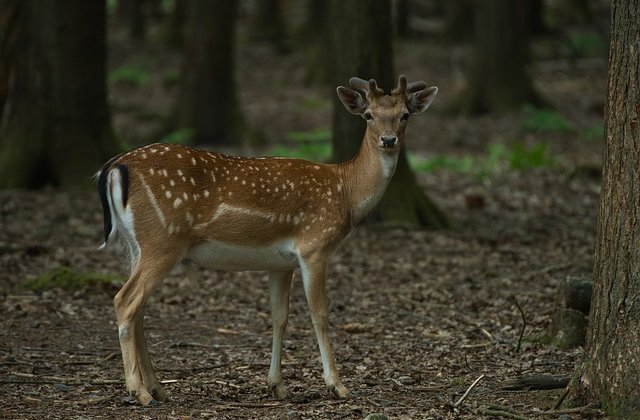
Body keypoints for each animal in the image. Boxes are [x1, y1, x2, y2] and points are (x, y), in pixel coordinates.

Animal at [97, 74, 438, 404]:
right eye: (368, 115)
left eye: (404, 114)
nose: (389, 140)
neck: (345, 192)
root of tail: (113, 167)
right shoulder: (314, 245)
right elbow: (320, 314)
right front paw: (337, 385)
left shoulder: (280, 263)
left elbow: (279, 317)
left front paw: (277, 385)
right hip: (162, 240)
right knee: (125, 301)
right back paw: (138, 391)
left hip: (136, 245)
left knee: (138, 308)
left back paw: (158, 388)